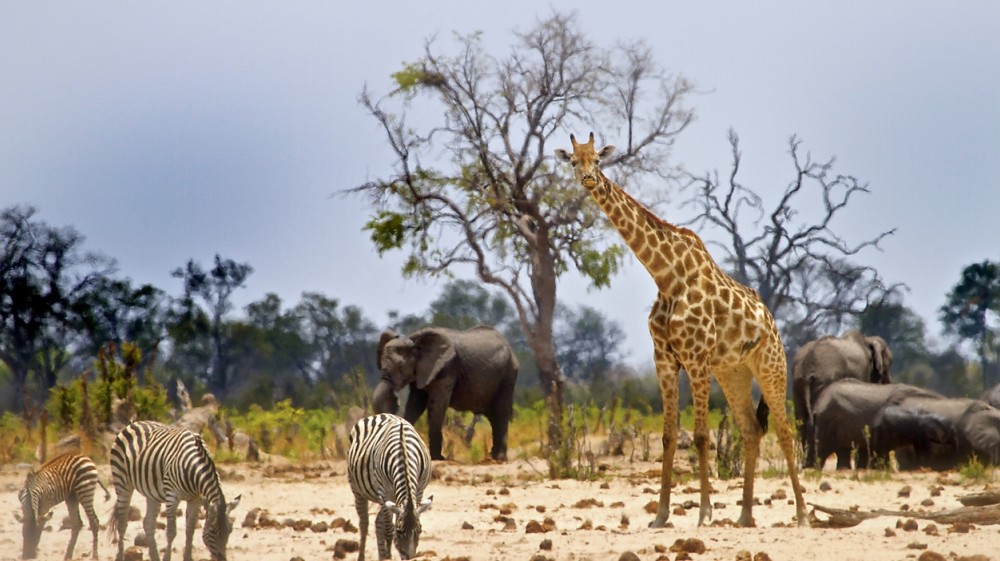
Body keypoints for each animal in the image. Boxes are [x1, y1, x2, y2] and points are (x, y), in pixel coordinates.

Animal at [107, 420, 241, 561]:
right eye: (212, 531)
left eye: (230, 531)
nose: (222, 559)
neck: (193, 467)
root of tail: (134, 423)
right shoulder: (172, 497)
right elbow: (171, 532)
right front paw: (167, 558)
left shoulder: (195, 499)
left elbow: (190, 529)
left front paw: (188, 557)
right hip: (122, 482)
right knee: (122, 523)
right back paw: (119, 556)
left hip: (152, 493)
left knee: (148, 523)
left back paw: (155, 557)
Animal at [348, 413, 433, 561]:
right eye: (399, 532)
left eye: (420, 530)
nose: (410, 558)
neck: (404, 453)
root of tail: (379, 414)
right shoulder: (385, 492)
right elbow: (389, 529)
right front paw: (388, 555)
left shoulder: (418, 491)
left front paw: (387, 555)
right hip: (357, 489)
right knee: (364, 523)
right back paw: (365, 556)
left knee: (378, 522)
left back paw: (381, 555)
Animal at [373, 325, 519, 461]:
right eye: (381, 364)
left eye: (402, 367)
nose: (395, 399)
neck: (415, 342)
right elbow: (414, 405)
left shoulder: (446, 369)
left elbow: (436, 405)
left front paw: (437, 458)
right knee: (494, 417)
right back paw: (493, 457)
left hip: (508, 376)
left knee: (500, 413)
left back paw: (499, 458)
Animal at [555, 132, 808, 528]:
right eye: (572, 161)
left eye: (597, 159)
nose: (589, 180)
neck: (666, 276)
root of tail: (771, 321)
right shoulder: (665, 359)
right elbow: (668, 436)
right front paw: (660, 516)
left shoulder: (697, 357)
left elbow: (702, 436)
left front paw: (704, 513)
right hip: (733, 372)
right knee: (752, 430)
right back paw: (745, 516)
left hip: (770, 365)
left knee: (783, 430)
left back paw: (801, 514)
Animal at [792, 330, 894, 467]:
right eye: (886, 369)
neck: (868, 340)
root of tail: (807, 367)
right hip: (825, 380)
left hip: (798, 384)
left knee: (802, 423)